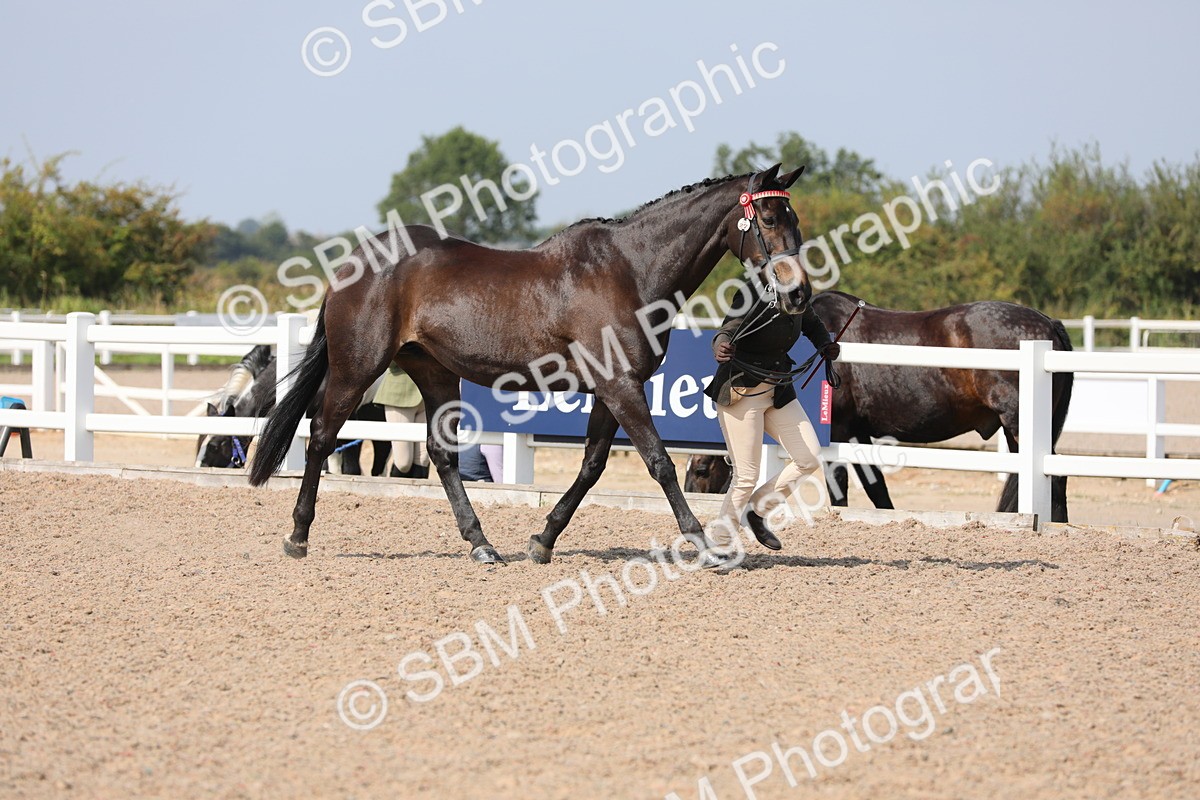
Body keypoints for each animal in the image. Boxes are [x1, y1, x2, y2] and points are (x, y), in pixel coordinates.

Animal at [248, 164, 813, 566]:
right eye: (767, 220)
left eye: (794, 220)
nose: (799, 294)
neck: (630, 271)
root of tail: (354, 262)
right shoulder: (621, 386)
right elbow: (658, 461)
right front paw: (701, 542)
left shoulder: (612, 389)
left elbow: (591, 467)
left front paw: (543, 540)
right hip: (358, 366)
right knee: (321, 436)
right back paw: (298, 535)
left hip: (434, 372)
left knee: (441, 453)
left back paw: (481, 544)